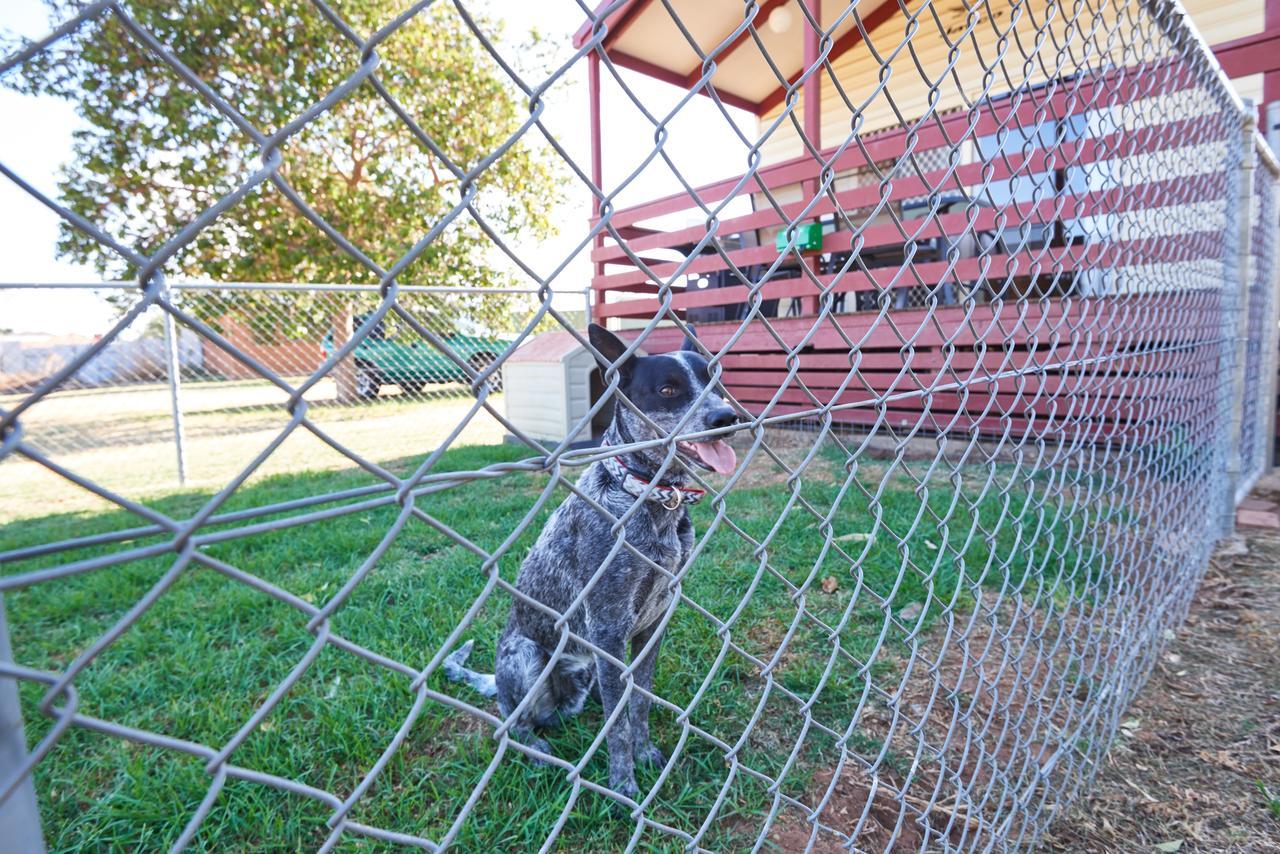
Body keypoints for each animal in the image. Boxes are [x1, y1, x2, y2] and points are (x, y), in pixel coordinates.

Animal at [445, 323, 742, 804]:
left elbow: (638, 702)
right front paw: (623, 784)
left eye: (716, 383)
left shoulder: (652, 628)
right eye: (668, 390)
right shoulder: (607, 629)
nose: (726, 418)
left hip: (581, 677)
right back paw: (536, 750)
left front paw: (646, 754)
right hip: (527, 655)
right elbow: (618, 721)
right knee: (514, 723)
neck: (649, 498)